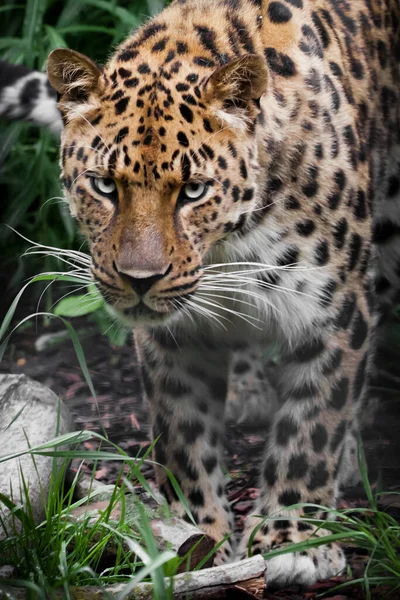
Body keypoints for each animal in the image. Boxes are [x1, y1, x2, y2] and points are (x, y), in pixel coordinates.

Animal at [46, 0, 400, 584]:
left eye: (193, 190)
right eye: (104, 185)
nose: (139, 280)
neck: (227, 248)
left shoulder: (336, 311)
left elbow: (313, 427)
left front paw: (293, 539)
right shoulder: (175, 339)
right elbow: (184, 437)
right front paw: (196, 535)